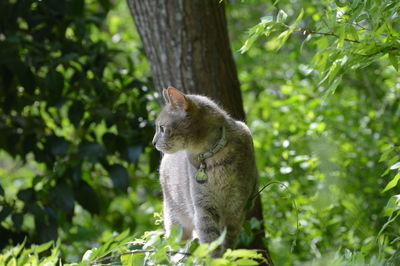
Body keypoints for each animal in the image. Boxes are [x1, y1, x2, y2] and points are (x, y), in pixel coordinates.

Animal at [152, 87, 258, 256]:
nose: (153, 142)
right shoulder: (204, 208)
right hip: (175, 220)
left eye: (161, 128)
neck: (214, 157)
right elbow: (211, 243)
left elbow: (227, 242)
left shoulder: (236, 209)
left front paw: (227, 257)